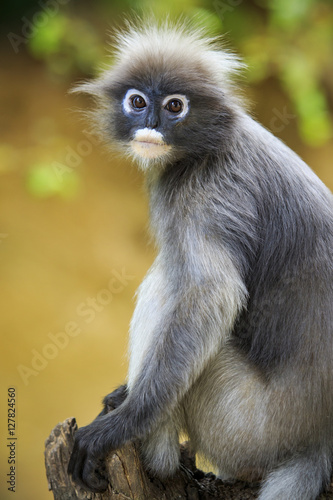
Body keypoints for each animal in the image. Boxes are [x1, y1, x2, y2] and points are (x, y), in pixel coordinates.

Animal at [67, 20, 332, 500]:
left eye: (175, 106)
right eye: (138, 101)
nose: (151, 124)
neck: (212, 144)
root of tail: (316, 443)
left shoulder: (213, 194)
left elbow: (213, 294)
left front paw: (120, 425)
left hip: (244, 424)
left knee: (171, 280)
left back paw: (158, 459)